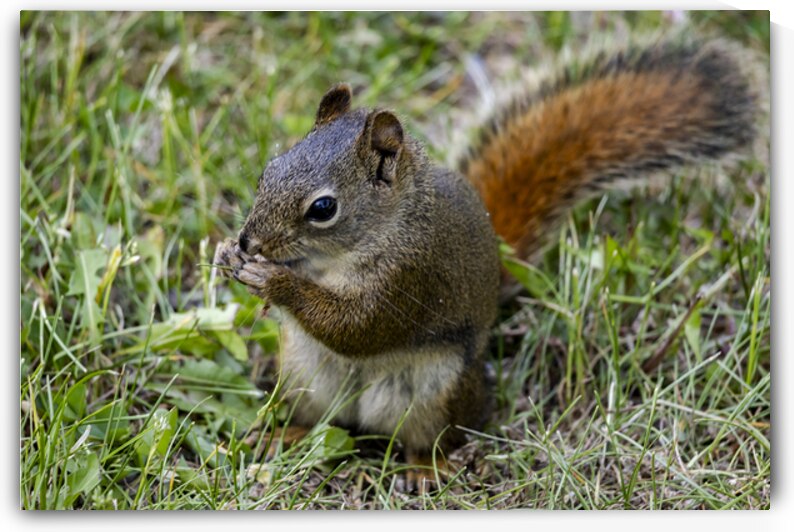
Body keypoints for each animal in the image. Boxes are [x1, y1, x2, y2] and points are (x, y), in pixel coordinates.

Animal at [214, 36, 758, 491]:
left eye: (323, 208)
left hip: (436, 394)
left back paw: (424, 468)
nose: (248, 239)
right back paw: (282, 437)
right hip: (303, 375)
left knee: (434, 436)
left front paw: (274, 281)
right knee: (320, 421)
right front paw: (228, 256)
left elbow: (359, 326)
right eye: (268, 170)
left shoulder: (411, 274)